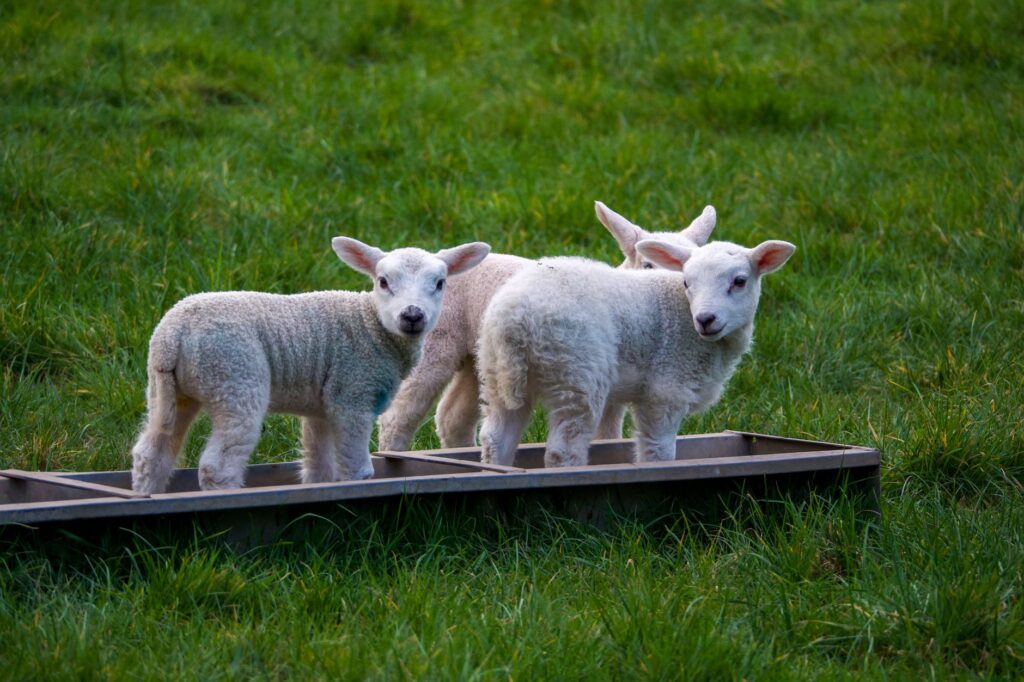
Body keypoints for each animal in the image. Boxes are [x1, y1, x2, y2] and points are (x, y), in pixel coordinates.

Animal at [130, 237, 491, 494]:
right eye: (383, 281)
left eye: (440, 283)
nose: (412, 315)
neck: (370, 324)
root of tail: (173, 335)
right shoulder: (353, 394)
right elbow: (357, 470)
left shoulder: (323, 406)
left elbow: (320, 468)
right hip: (234, 378)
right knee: (218, 465)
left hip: (169, 389)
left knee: (152, 452)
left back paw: (146, 492)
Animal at [375, 202, 718, 451]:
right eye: (647, 264)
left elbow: (608, 437)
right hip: (436, 342)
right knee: (398, 415)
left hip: (481, 359)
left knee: (452, 416)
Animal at [476, 234, 795, 468]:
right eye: (687, 282)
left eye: (739, 282)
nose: (706, 319)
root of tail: (515, 319)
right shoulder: (665, 390)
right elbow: (659, 451)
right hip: (575, 373)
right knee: (563, 448)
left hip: (495, 372)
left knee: (496, 438)